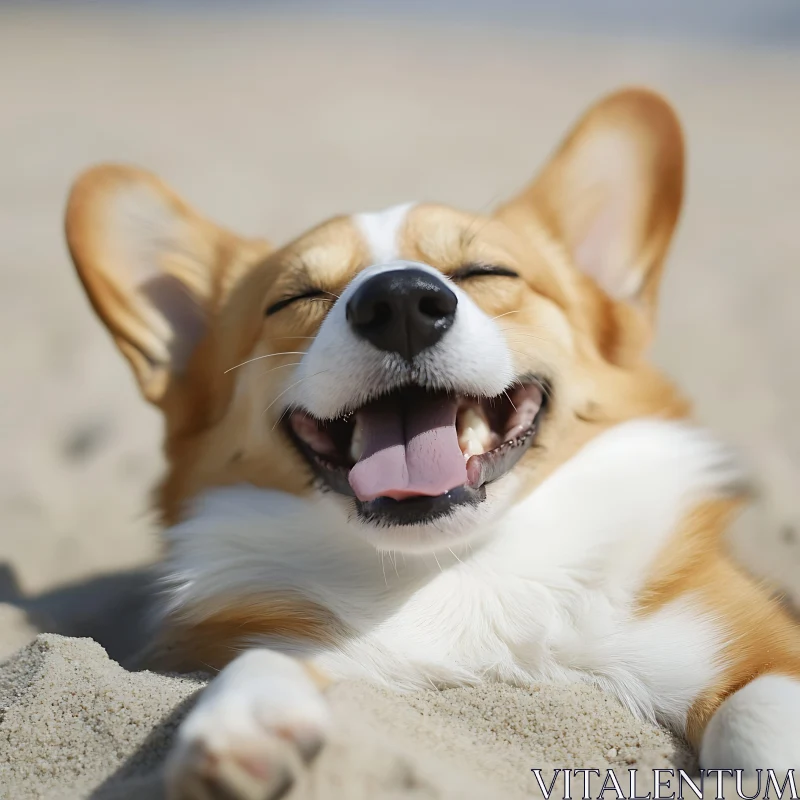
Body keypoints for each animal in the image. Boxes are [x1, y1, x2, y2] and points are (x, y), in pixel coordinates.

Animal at [67, 90, 800, 796]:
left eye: (485, 271)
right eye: (297, 296)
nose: (398, 303)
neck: (457, 568)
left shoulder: (746, 639)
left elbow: (760, 708)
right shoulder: (290, 640)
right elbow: (262, 658)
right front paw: (244, 723)